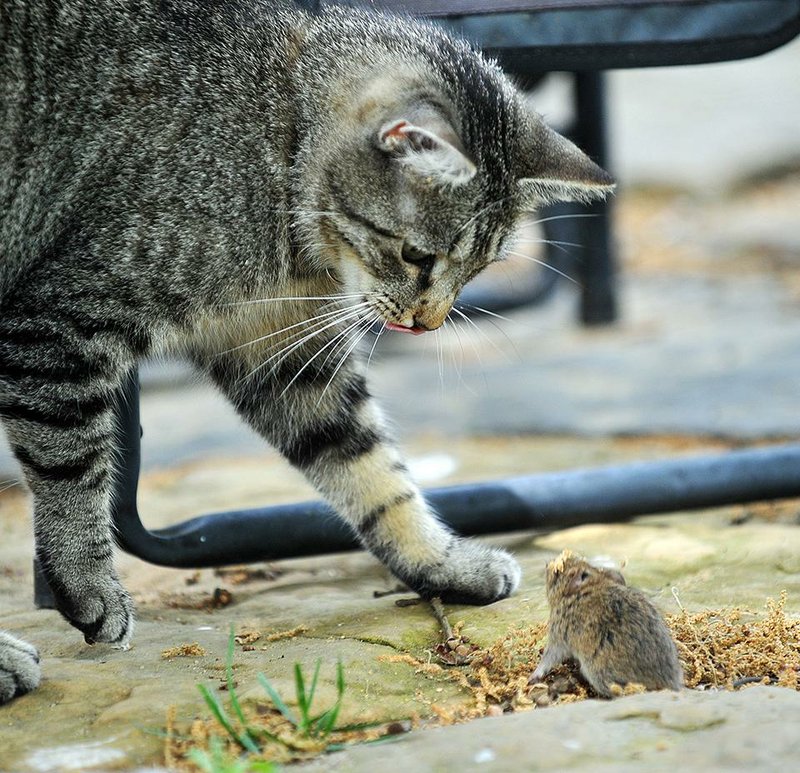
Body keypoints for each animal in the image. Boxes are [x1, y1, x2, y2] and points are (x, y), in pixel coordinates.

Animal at [0, 0, 612, 704]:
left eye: (479, 267)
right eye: (418, 256)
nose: (427, 323)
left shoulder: (284, 351)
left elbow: (372, 472)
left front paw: (442, 563)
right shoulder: (61, 323)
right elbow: (73, 468)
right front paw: (88, 581)